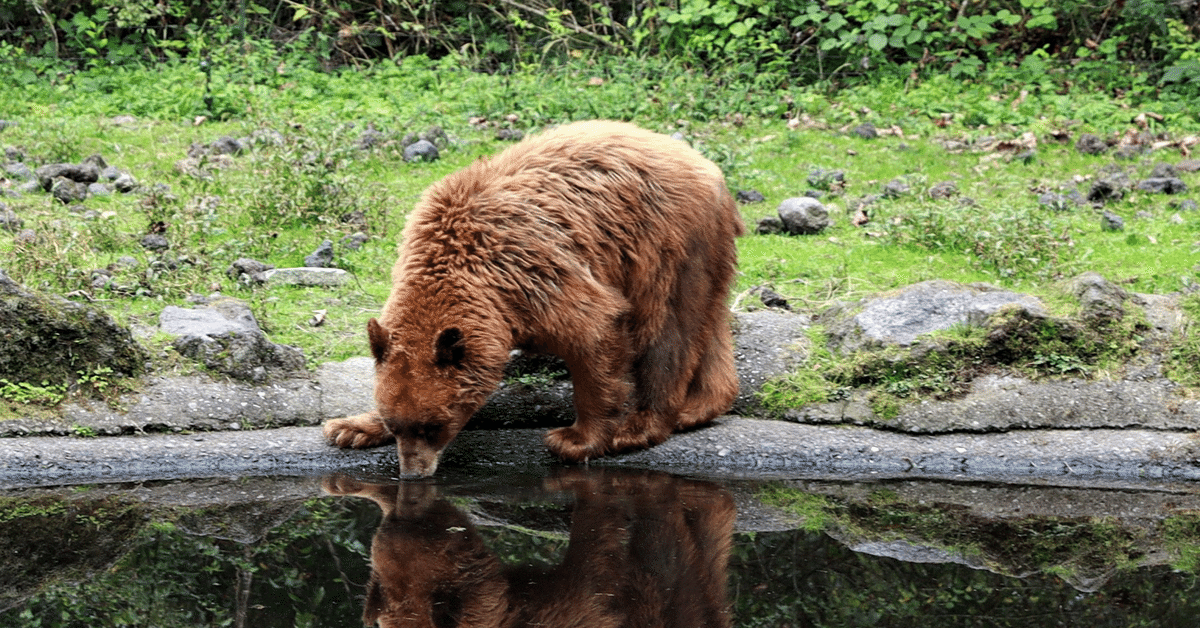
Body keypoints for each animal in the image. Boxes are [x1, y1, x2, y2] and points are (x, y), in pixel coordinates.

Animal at [324, 120, 744, 477]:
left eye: (433, 426)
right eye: (398, 425)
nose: (413, 473)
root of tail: (710, 169)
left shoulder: (533, 274)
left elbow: (593, 332)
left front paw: (575, 439)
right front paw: (350, 427)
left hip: (662, 240)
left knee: (665, 326)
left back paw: (640, 426)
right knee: (708, 322)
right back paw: (698, 407)